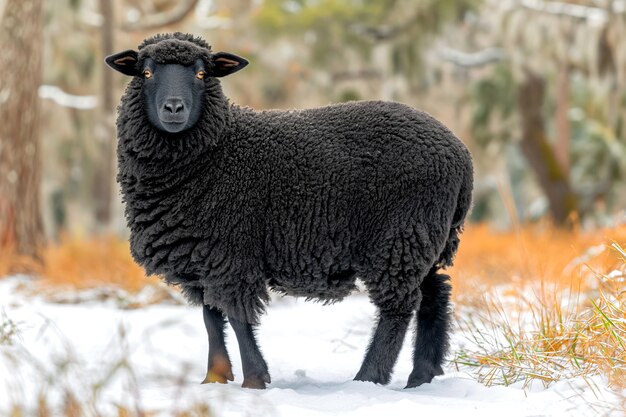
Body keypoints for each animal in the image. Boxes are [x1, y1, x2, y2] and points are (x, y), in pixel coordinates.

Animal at [106, 33, 468, 390]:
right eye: (146, 73)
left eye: (201, 73)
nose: (174, 107)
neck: (216, 150)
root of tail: (461, 154)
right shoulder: (203, 254)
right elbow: (211, 318)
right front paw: (215, 379)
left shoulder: (231, 254)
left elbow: (237, 317)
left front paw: (254, 379)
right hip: (424, 239)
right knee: (434, 296)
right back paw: (421, 376)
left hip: (400, 237)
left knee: (398, 307)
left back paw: (369, 378)